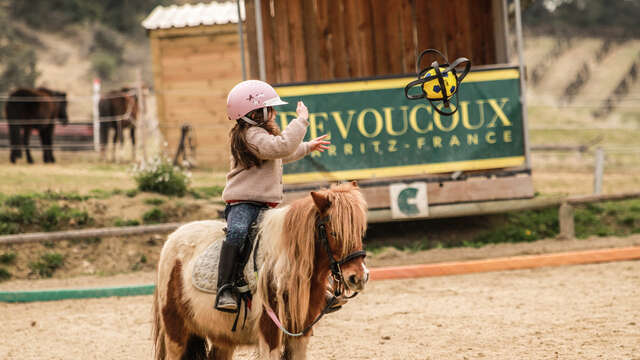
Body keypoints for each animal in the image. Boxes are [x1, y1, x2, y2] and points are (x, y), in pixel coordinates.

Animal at [151, 183, 370, 360]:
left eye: (360, 231)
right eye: (334, 232)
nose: (358, 277)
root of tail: (172, 238)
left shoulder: (300, 334)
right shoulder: (269, 332)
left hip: (222, 337)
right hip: (175, 333)